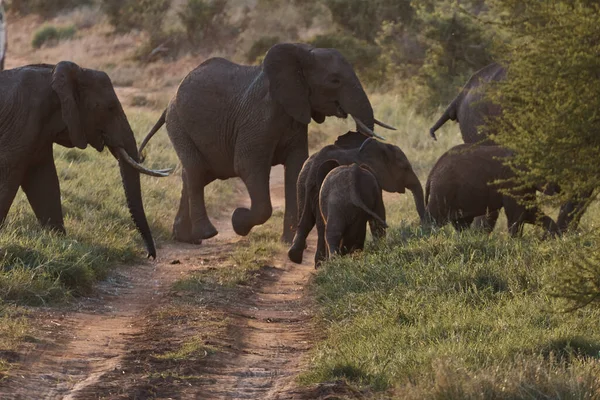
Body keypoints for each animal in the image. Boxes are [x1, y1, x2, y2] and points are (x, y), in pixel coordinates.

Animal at [1, 61, 170, 258]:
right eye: (110, 107)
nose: (150, 255)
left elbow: (43, 180)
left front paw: (59, 241)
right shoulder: (22, 122)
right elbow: (9, 176)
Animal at [135, 43, 392, 244]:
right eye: (334, 80)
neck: (301, 54)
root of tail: (169, 102)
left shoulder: (296, 116)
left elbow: (296, 168)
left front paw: (288, 240)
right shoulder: (259, 116)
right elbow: (248, 166)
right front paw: (238, 221)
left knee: (192, 174)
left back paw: (186, 238)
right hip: (178, 124)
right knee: (197, 171)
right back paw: (206, 234)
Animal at [424, 144, 560, 238]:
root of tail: (431, 173)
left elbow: (530, 211)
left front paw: (556, 238)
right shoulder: (512, 181)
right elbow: (518, 214)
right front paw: (516, 242)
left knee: (461, 223)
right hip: (443, 191)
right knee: (435, 219)